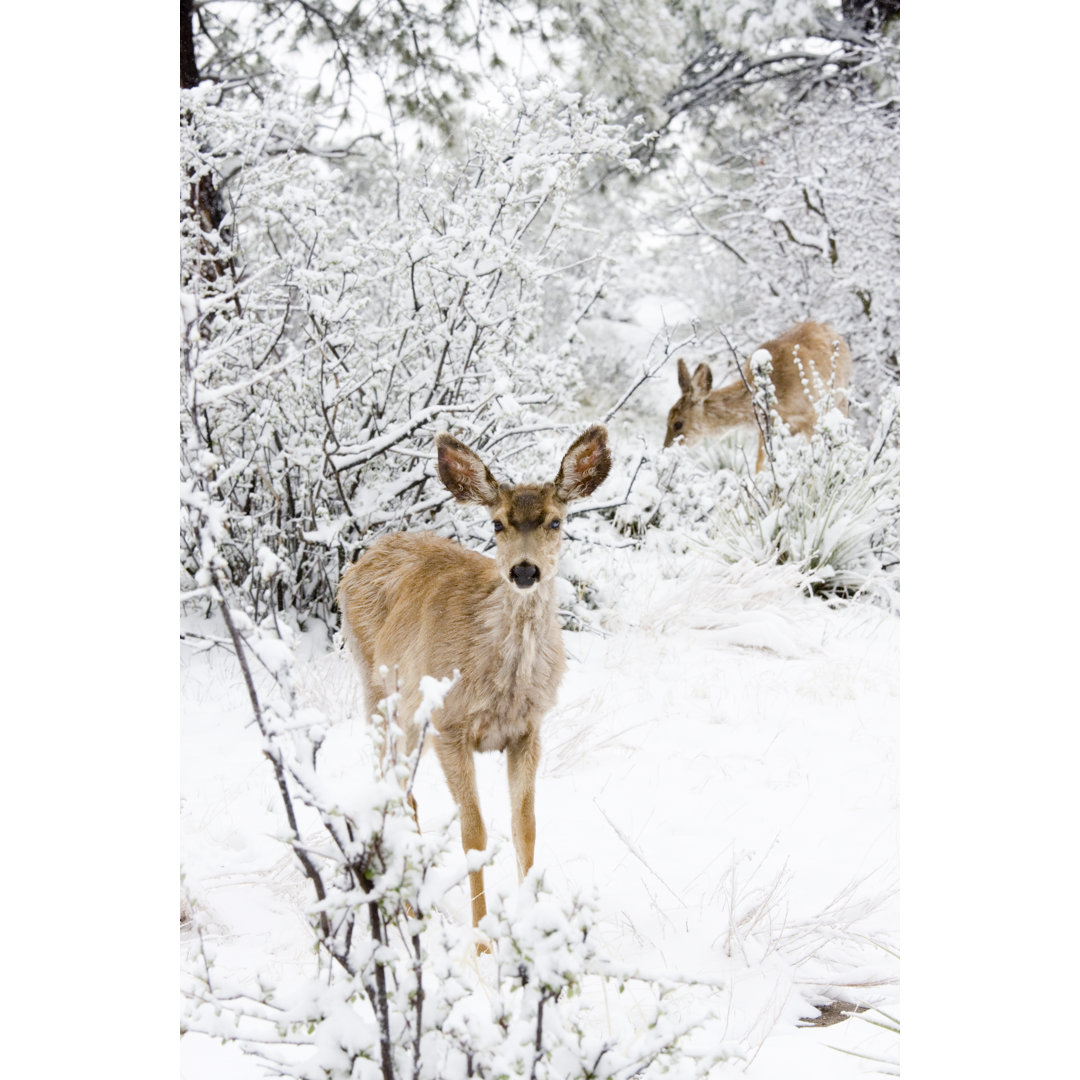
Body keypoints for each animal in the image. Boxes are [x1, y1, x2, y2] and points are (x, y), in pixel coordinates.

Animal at [336, 425, 609, 950]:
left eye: (556, 521)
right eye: (497, 524)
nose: (523, 570)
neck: (502, 681)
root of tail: (361, 560)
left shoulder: (528, 731)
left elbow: (525, 828)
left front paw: (530, 930)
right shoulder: (450, 726)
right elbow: (474, 834)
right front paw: (483, 942)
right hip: (377, 691)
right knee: (395, 788)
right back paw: (406, 904)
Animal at [656, 321, 851, 470]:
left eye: (678, 423)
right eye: (666, 420)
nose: (664, 451)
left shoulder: (810, 417)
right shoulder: (764, 428)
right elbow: (760, 465)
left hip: (841, 400)